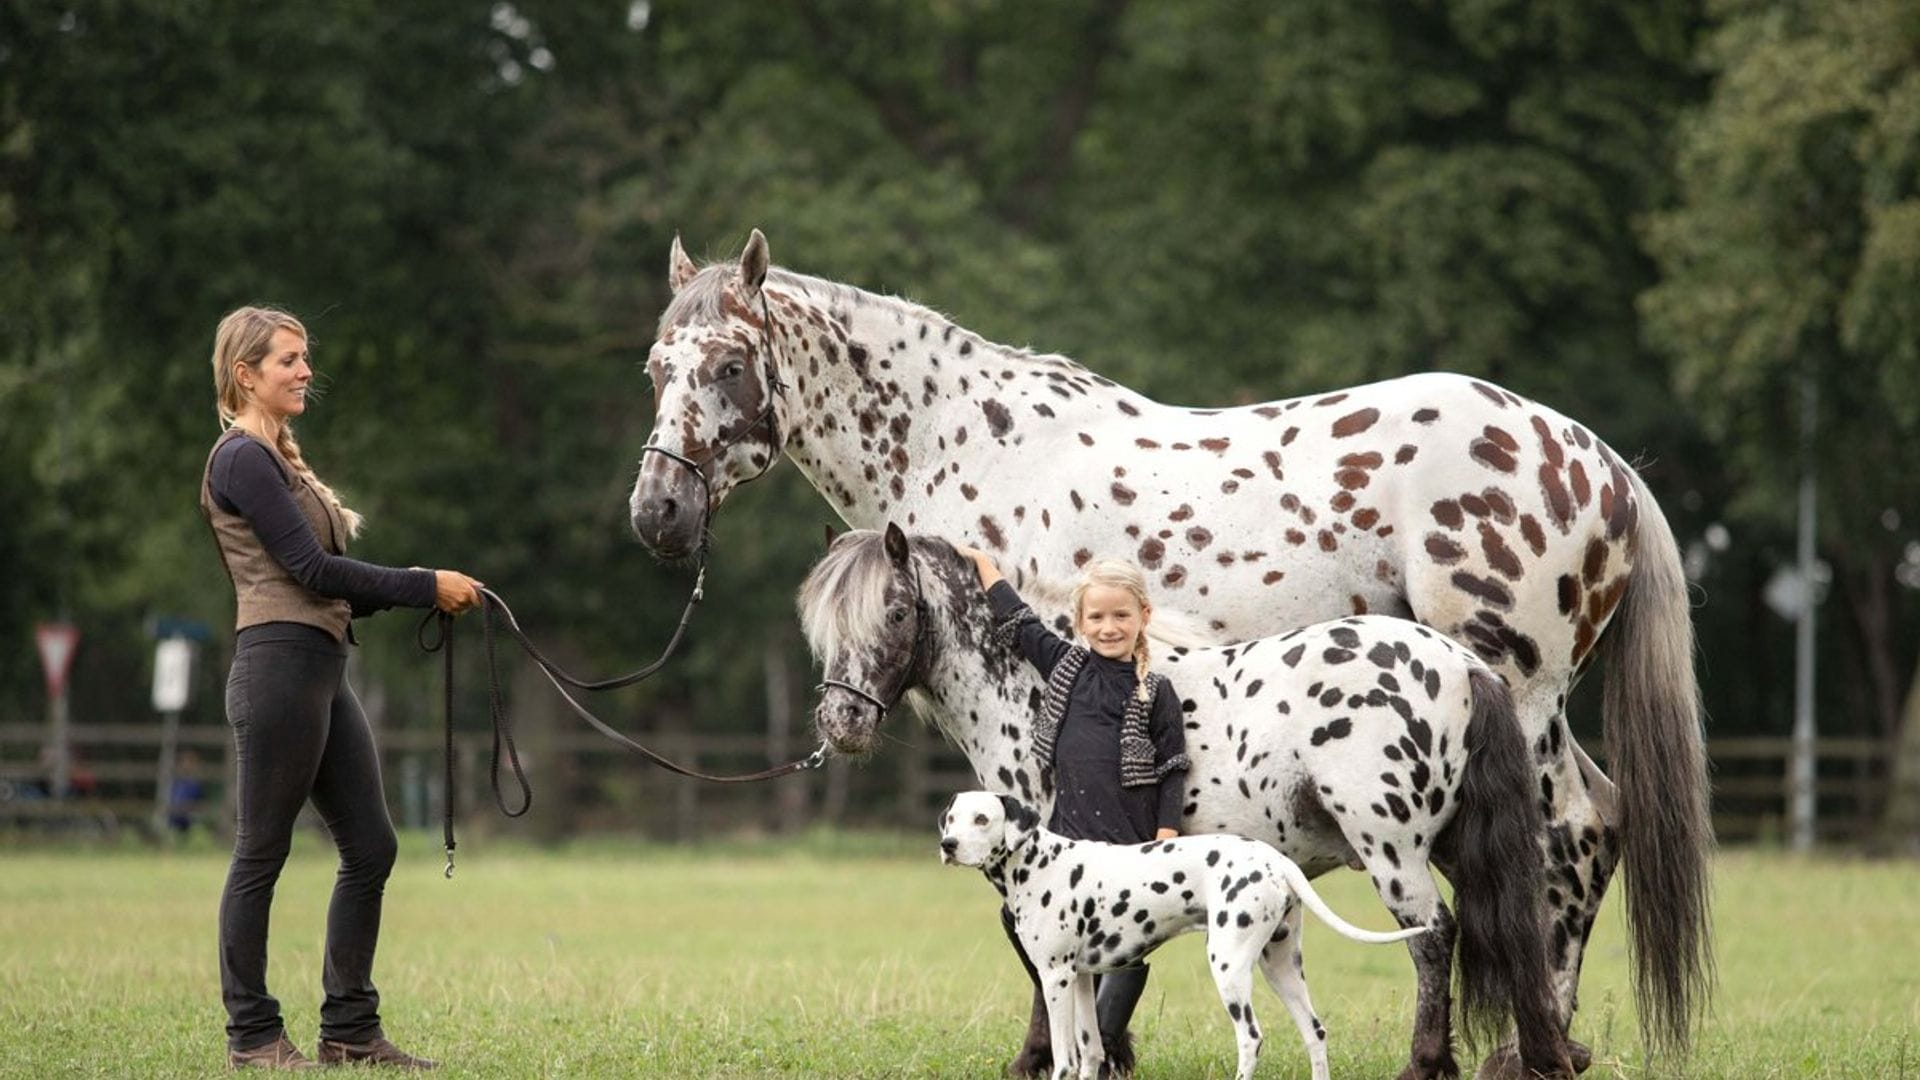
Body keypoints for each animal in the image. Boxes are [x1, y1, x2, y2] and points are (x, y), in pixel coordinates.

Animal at [944, 787, 1428, 1068]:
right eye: (952, 818)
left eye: (982, 819)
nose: (948, 844)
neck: (1038, 863)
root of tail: (1275, 859)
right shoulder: (1080, 979)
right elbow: (1092, 1050)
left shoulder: (1055, 979)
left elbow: (1064, 1060)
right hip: (1281, 968)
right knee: (1315, 1033)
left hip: (1229, 967)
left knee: (1251, 1039)